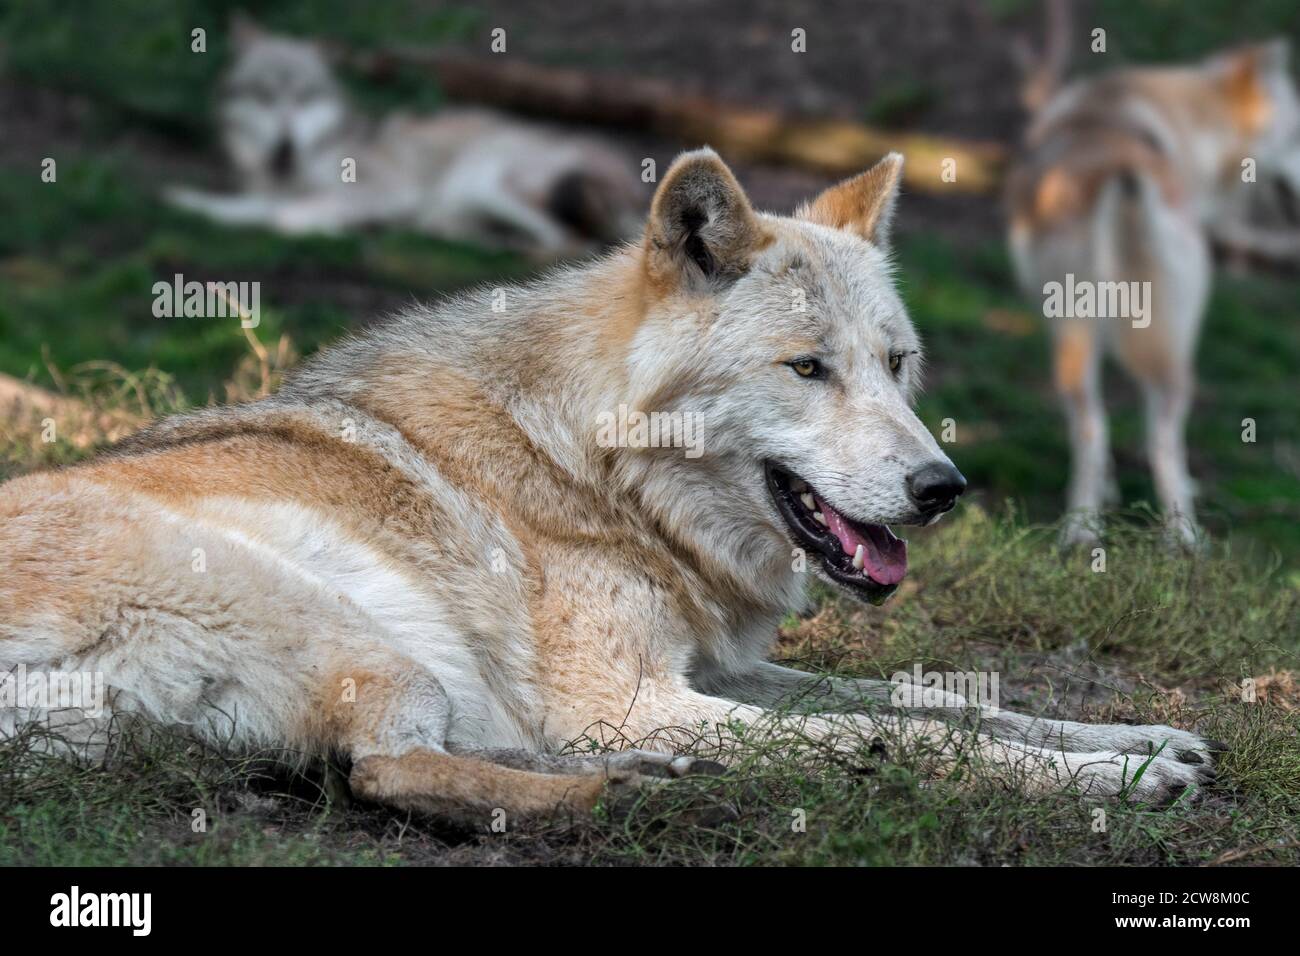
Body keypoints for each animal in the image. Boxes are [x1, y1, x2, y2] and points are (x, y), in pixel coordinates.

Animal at [0, 151, 1216, 822]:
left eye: (897, 363)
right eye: (807, 369)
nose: (942, 486)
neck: (594, 470)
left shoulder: (714, 672)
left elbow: (947, 699)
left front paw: (1139, 740)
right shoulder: (632, 691)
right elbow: (915, 733)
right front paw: (1117, 783)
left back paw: (663, 771)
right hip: (355, 635)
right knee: (381, 770)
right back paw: (619, 790)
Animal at [167, 18, 644, 257]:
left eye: (302, 96)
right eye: (265, 95)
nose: (285, 146)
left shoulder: (387, 190)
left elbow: (283, 218)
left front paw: (340, 230)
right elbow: (237, 209)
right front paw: (185, 201)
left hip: (481, 176)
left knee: (569, 240)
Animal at [1003, 31, 1300, 546]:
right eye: (1298, 134)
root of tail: (1122, 171)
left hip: (1080, 337)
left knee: (1098, 429)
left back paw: (1089, 533)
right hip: (1155, 344)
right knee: (1154, 438)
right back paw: (1178, 539)